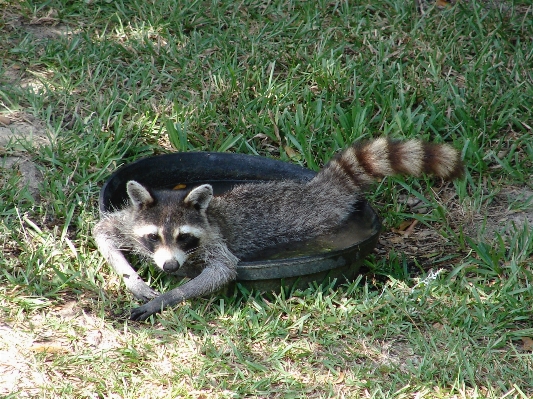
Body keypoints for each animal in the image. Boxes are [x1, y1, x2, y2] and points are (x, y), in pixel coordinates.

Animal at [93, 138, 464, 322]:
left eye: (184, 237)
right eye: (153, 236)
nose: (170, 267)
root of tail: (317, 190)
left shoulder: (214, 239)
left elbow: (224, 270)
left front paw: (168, 297)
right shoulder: (131, 222)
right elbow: (103, 231)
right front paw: (133, 279)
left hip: (321, 218)